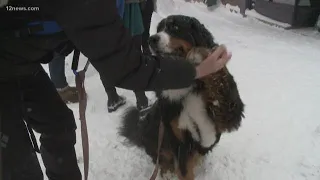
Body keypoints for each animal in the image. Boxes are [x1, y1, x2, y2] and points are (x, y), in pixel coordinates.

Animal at [119, 14, 244, 179]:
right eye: (158, 29)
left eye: (175, 27)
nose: (151, 39)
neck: (191, 89)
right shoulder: (179, 140)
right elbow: (184, 170)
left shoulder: (227, 114)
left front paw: (202, 54)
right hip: (152, 130)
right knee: (160, 157)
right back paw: (166, 171)